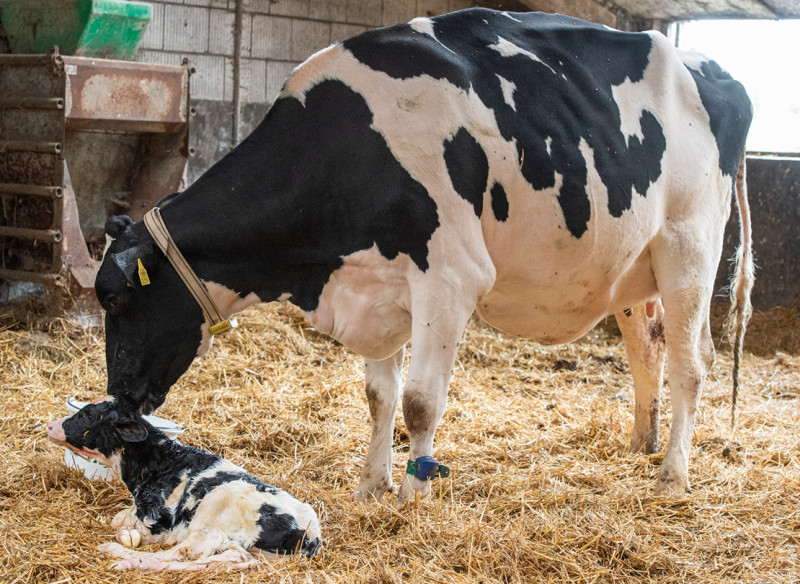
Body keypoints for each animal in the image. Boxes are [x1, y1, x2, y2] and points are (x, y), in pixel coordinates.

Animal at [47, 400, 320, 572]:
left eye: (87, 415)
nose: (50, 425)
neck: (160, 460)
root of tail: (312, 538)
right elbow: (119, 518)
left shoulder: (158, 518)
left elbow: (123, 525)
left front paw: (125, 538)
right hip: (234, 543)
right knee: (219, 559)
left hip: (213, 510)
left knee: (181, 552)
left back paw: (121, 556)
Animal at [97, 8, 752, 502]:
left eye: (115, 298)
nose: (121, 401)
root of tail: (716, 70)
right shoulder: (374, 287)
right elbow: (378, 397)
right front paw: (371, 486)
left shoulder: (449, 278)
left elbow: (418, 402)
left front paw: (412, 494)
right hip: (633, 268)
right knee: (648, 348)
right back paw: (642, 445)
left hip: (689, 248)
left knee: (691, 364)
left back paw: (672, 476)